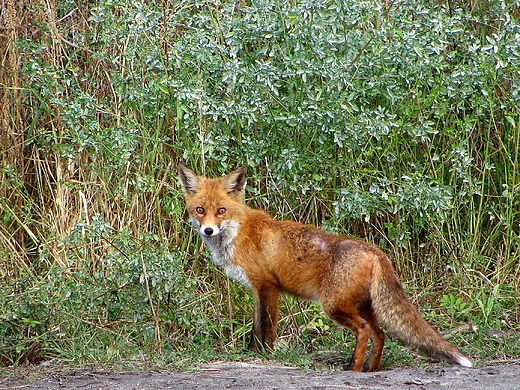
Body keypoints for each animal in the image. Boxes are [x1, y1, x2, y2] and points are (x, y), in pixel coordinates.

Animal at [178, 163, 472, 370]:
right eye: (200, 210)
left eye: (222, 211)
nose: (208, 230)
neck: (237, 231)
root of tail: (376, 251)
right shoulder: (256, 290)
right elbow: (255, 329)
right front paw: (250, 353)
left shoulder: (267, 286)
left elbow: (267, 329)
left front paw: (265, 356)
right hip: (363, 305)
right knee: (379, 334)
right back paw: (371, 369)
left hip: (334, 305)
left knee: (364, 330)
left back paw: (353, 369)